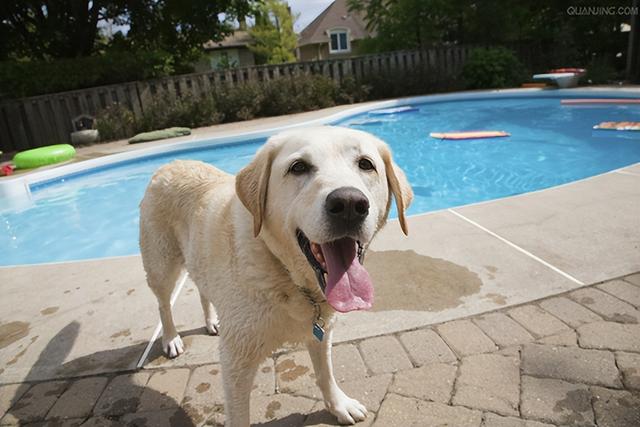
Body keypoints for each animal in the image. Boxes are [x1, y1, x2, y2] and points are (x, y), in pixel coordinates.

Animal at [138, 127, 412, 427]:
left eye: (366, 164)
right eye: (298, 167)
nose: (349, 203)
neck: (287, 276)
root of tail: (171, 164)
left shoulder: (321, 330)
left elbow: (325, 373)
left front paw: (339, 405)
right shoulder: (236, 361)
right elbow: (239, 416)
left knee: (202, 290)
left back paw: (211, 321)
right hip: (161, 265)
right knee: (163, 304)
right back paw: (171, 338)